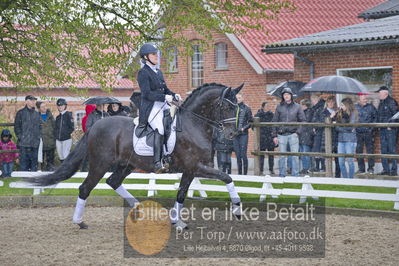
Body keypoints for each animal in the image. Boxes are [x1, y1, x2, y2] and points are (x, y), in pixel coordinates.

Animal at [28, 83, 244, 229]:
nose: (233, 134)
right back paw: (79, 222)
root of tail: (96, 125)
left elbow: (182, 194)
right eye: (227, 107)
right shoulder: (196, 167)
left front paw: (177, 222)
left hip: (127, 164)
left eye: (238, 107)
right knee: (85, 188)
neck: (193, 125)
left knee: (113, 182)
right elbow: (227, 176)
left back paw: (138, 209)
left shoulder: (190, 170)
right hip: (100, 164)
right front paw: (237, 210)